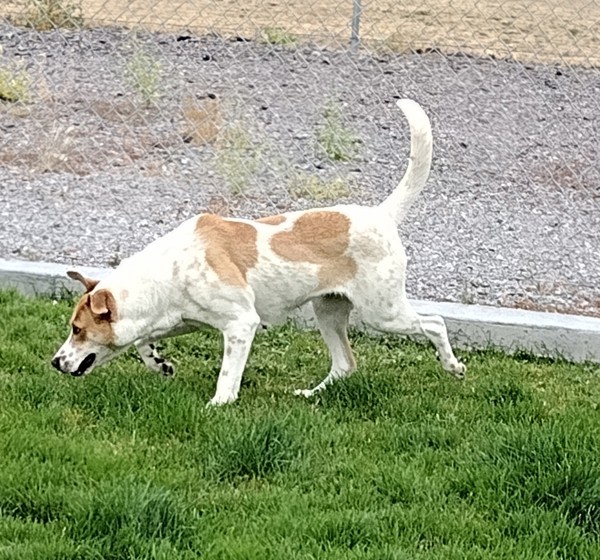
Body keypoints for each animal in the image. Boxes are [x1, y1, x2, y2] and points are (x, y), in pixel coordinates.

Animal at [52, 99, 464, 402]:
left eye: (77, 329)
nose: (55, 362)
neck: (169, 271)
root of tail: (382, 214)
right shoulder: (175, 318)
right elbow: (142, 342)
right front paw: (160, 363)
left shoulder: (240, 324)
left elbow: (226, 375)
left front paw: (218, 405)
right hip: (328, 312)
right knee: (345, 364)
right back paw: (310, 395)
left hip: (383, 311)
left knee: (434, 323)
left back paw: (453, 366)